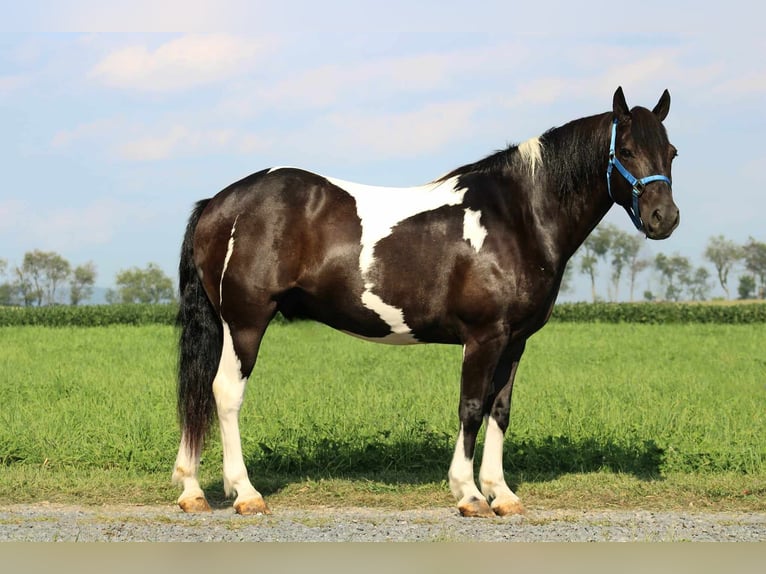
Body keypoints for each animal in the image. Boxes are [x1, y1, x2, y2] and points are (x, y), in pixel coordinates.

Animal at [171, 88, 680, 520]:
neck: (517, 217)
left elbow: (499, 410)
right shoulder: (484, 337)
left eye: (671, 152)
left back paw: (193, 491)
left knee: (200, 392)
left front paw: (502, 494)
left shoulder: (515, 341)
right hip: (246, 322)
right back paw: (246, 493)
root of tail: (219, 203)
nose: (665, 218)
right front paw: (469, 494)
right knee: (225, 393)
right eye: (626, 150)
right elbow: (471, 406)